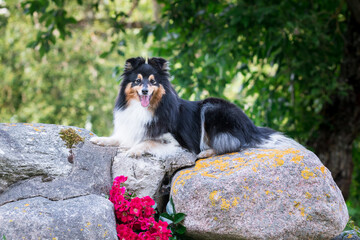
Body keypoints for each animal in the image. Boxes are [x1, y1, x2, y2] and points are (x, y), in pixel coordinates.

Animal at [89, 56, 304, 158]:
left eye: (153, 81)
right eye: (137, 81)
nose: (144, 91)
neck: (145, 109)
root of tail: (250, 126)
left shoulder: (178, 143)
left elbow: (147, 142)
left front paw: (134, 150)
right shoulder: (130, 130)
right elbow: (118, 138)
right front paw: (100, 139)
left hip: (211, 108)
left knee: (233, 144)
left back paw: (206, 152)